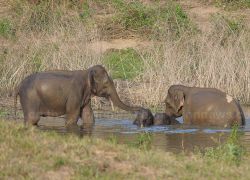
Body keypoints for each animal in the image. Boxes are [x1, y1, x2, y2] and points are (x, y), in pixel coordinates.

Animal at [14, 65, 147, 127]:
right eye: (106, 84)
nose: (143, 109)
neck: (87, 71)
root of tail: (18, 85)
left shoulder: (85, 96)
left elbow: (88, 116)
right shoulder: (75, 93)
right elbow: (72, 116)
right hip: (30, 98)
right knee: (32, 118)